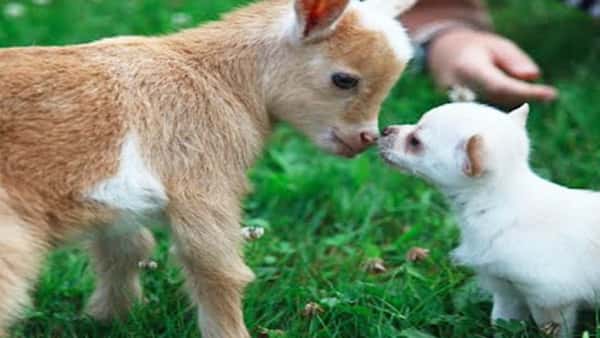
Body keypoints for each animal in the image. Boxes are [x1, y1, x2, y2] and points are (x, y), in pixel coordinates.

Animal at [380, 103, 600, 338]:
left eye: (415, 142)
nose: (384, 130)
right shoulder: (507, 290)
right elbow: (501, 320)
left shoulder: (551, 298)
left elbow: (553, 329)